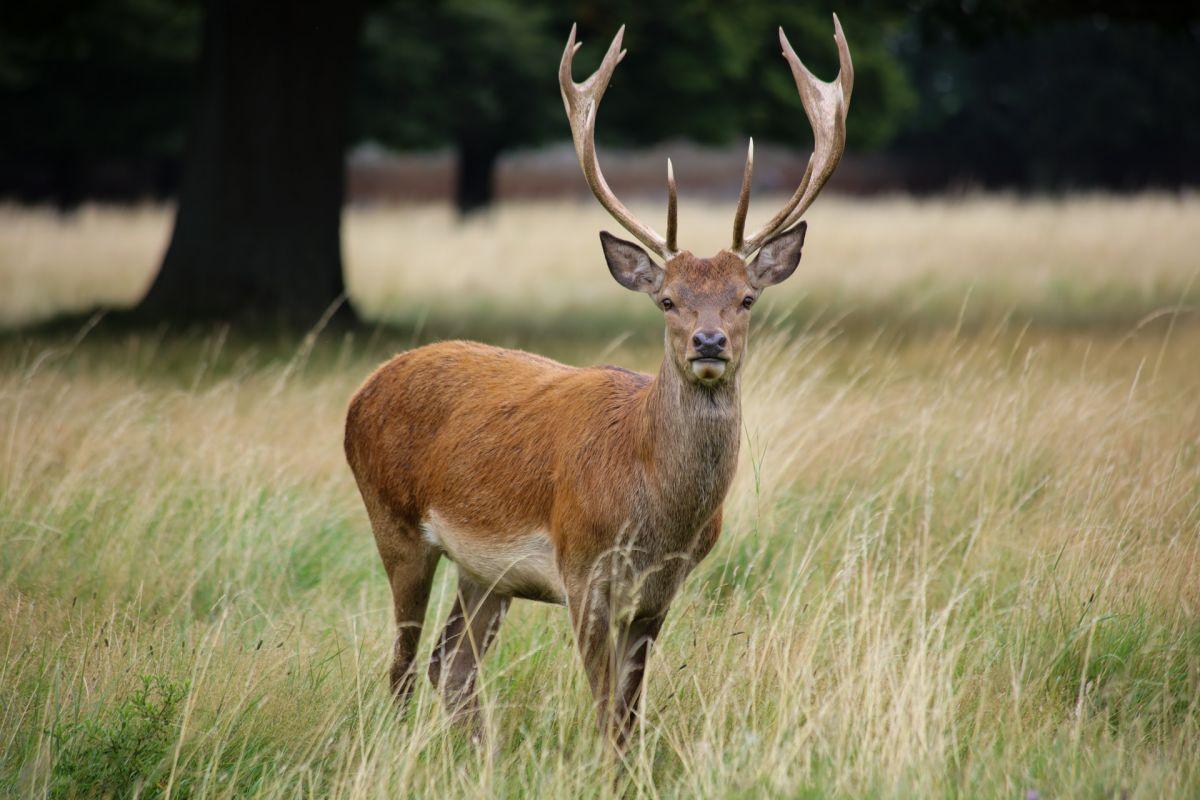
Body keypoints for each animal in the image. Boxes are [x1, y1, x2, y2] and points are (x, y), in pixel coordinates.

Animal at [348, 15, 854, 753]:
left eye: (746, 298)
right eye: (668, 300)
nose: (709, 343)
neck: (655, 510)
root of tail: (362, 391)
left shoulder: (661, 592)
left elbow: (630, 712)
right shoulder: (583, 568)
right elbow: (605, 711)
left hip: (484, 570)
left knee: (454, 664)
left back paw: (478, 759)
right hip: (394, 521)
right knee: (404, 664)